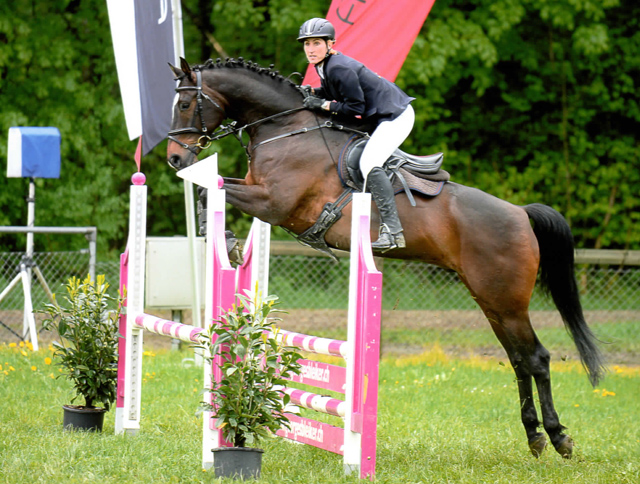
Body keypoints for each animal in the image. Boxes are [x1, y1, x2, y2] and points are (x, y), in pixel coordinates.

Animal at [165, 56, 604, 458]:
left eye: (185, 104)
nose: (174, 159)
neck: (285, 129)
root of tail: (520, 214)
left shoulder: (274, 203)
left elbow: (212, 187)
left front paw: (223, 237)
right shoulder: (260, 194)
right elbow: (210, 187)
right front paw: (221, 235)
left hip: (508, 301)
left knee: (537, 358)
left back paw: (559, 438)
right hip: (492, 300)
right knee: (517, 360)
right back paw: (534, 437)